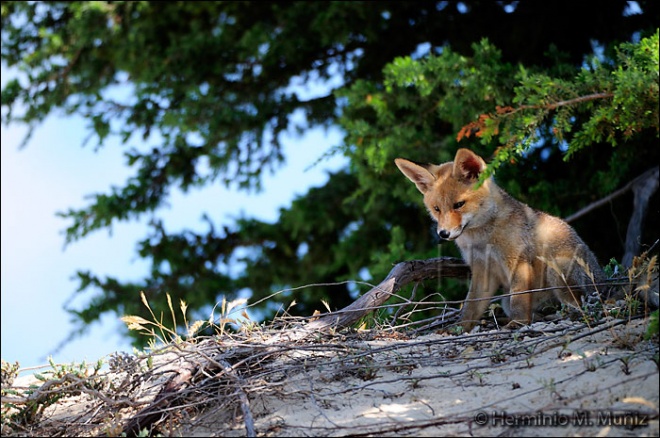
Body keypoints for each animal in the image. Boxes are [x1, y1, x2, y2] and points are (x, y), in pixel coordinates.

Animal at [394, 148, 604, 332]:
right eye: (437, 209)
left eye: (459, 204)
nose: (443, 233)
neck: (482, 240)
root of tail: (606, 282)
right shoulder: (482, 270)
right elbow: (470, 307)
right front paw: (458, 329)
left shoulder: (518, 262)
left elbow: (519, 300)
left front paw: (518, 324)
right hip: (507, 299)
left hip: (557, 268)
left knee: (581, 306)